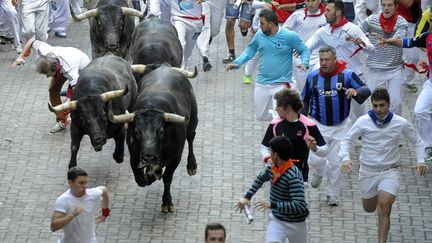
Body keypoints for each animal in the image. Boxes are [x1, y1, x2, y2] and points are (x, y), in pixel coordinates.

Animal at [111, 63, 199, 213]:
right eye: (136, 132)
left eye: (161, 131)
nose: (149, 157)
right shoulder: (134, 156)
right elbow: (140, 179)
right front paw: (150, 175)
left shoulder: (176, 157)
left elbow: (167, 178)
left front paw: (167, 202)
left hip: (193, 118)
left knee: (191, 137)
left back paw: (191, 166)